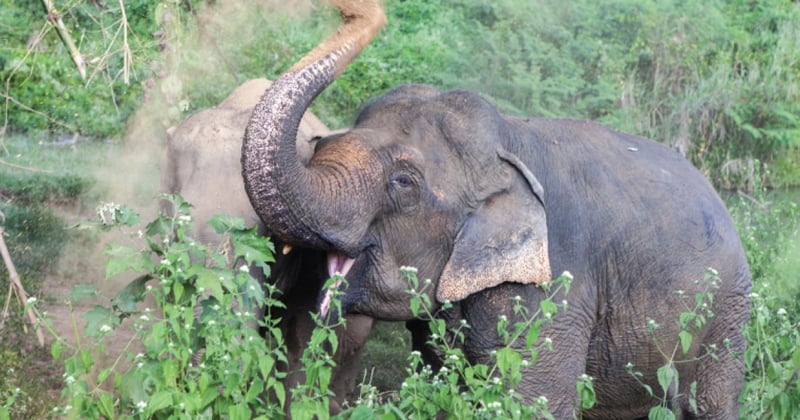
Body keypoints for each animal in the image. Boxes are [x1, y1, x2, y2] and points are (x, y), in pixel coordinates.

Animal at [241, 1, 752, 418]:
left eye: (403, 183)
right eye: (321, 143)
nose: (351, 9)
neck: (507, 144)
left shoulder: (555, 289)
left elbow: (535, 400)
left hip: (728, 311)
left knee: (710, 400)